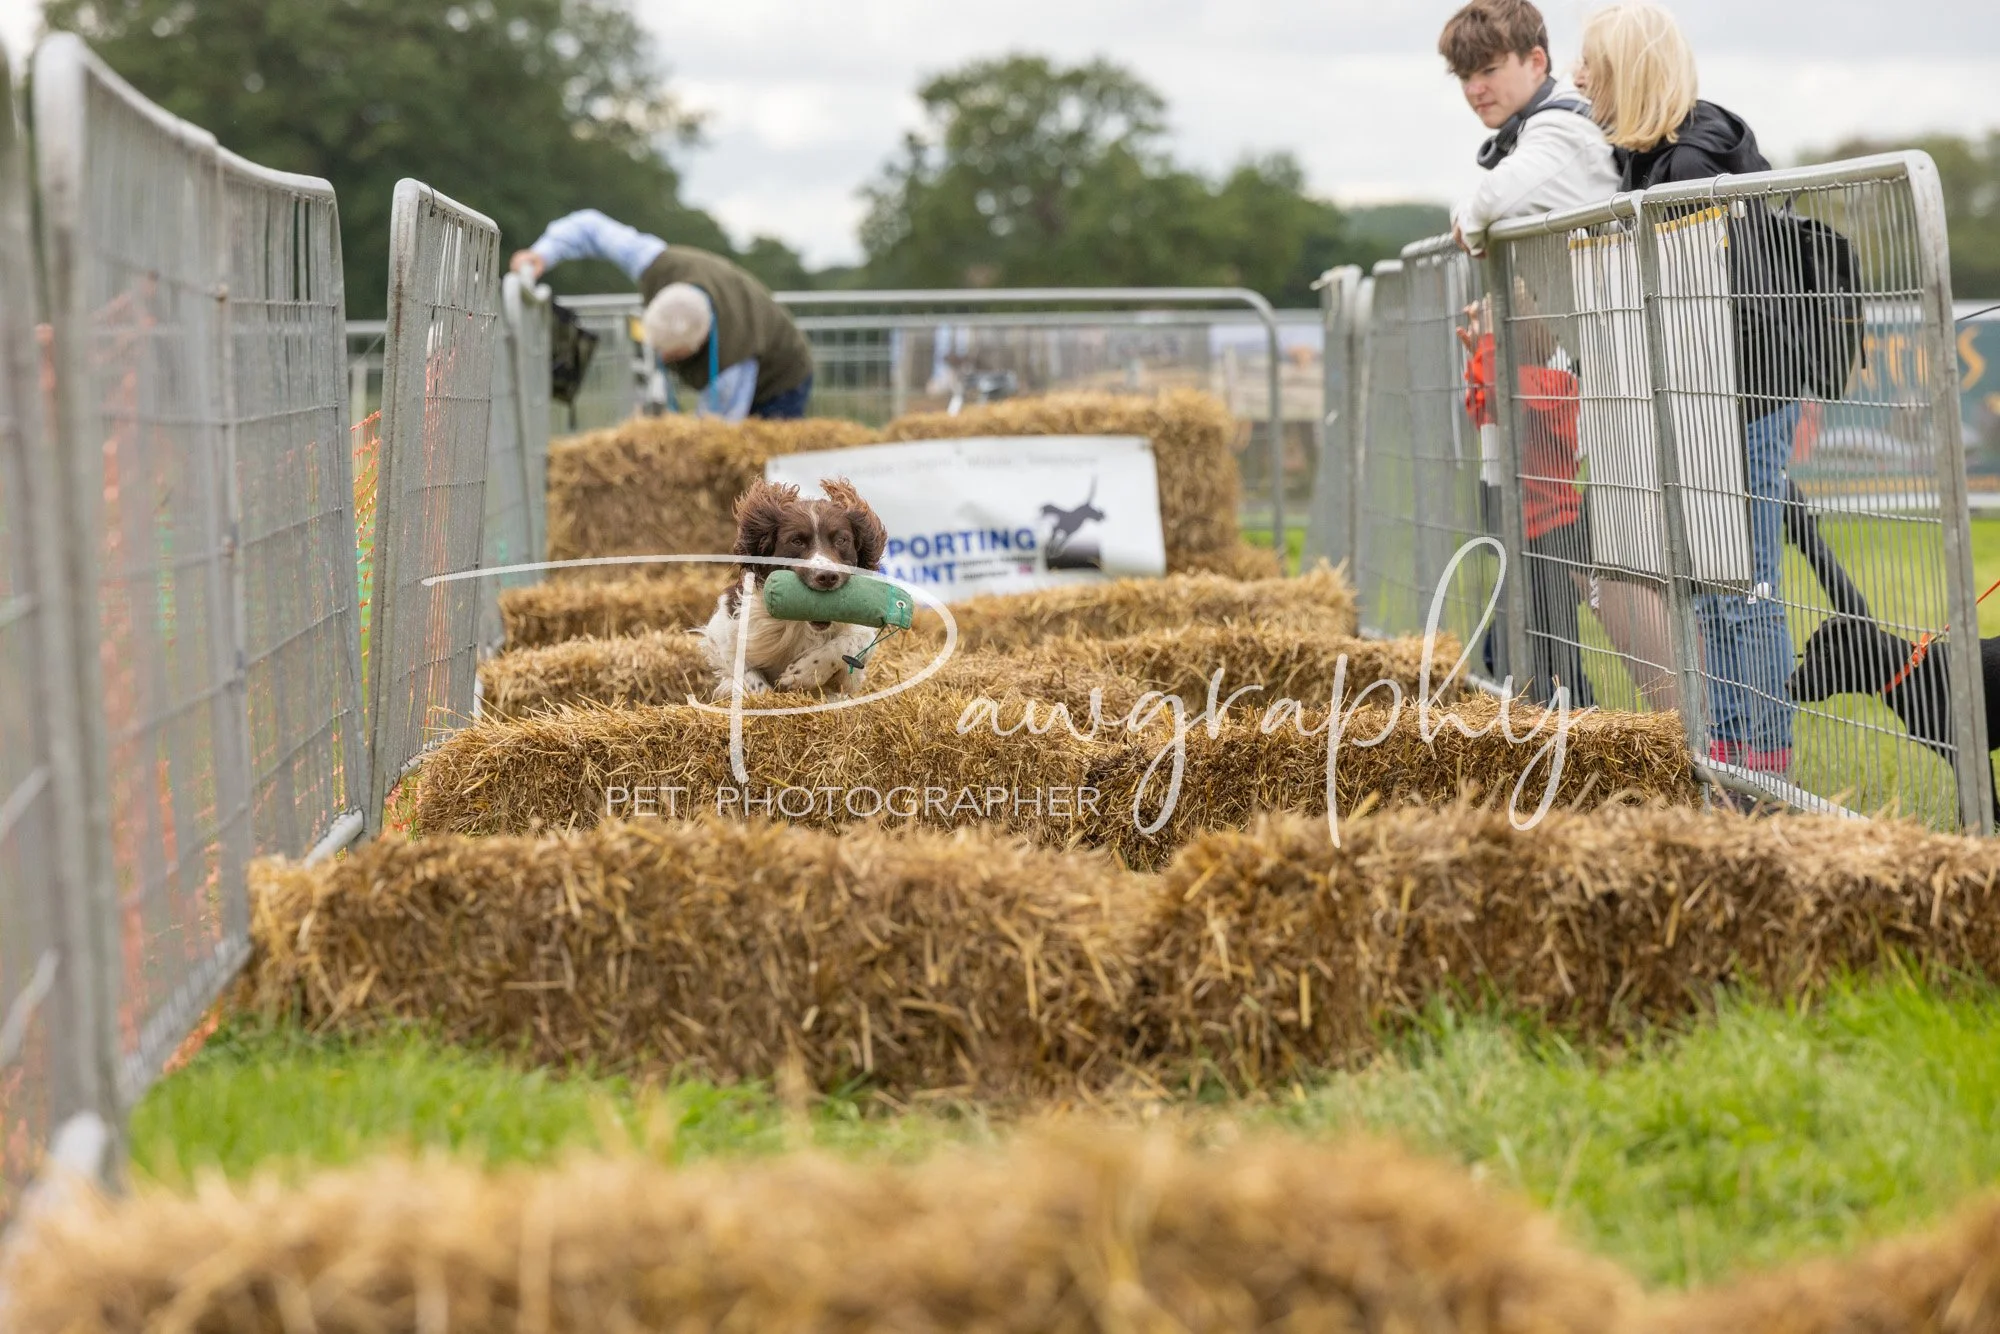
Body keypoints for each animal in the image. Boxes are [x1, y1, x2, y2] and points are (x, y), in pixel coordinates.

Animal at [698, 477, 888, 699]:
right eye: (796, 541)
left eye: (841, 540)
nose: (827, 577)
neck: (801, 624)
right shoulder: (724, 628)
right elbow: (743, 668)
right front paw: (765, 696)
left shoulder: (858, 638)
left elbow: (852, 642)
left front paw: (803, 672)